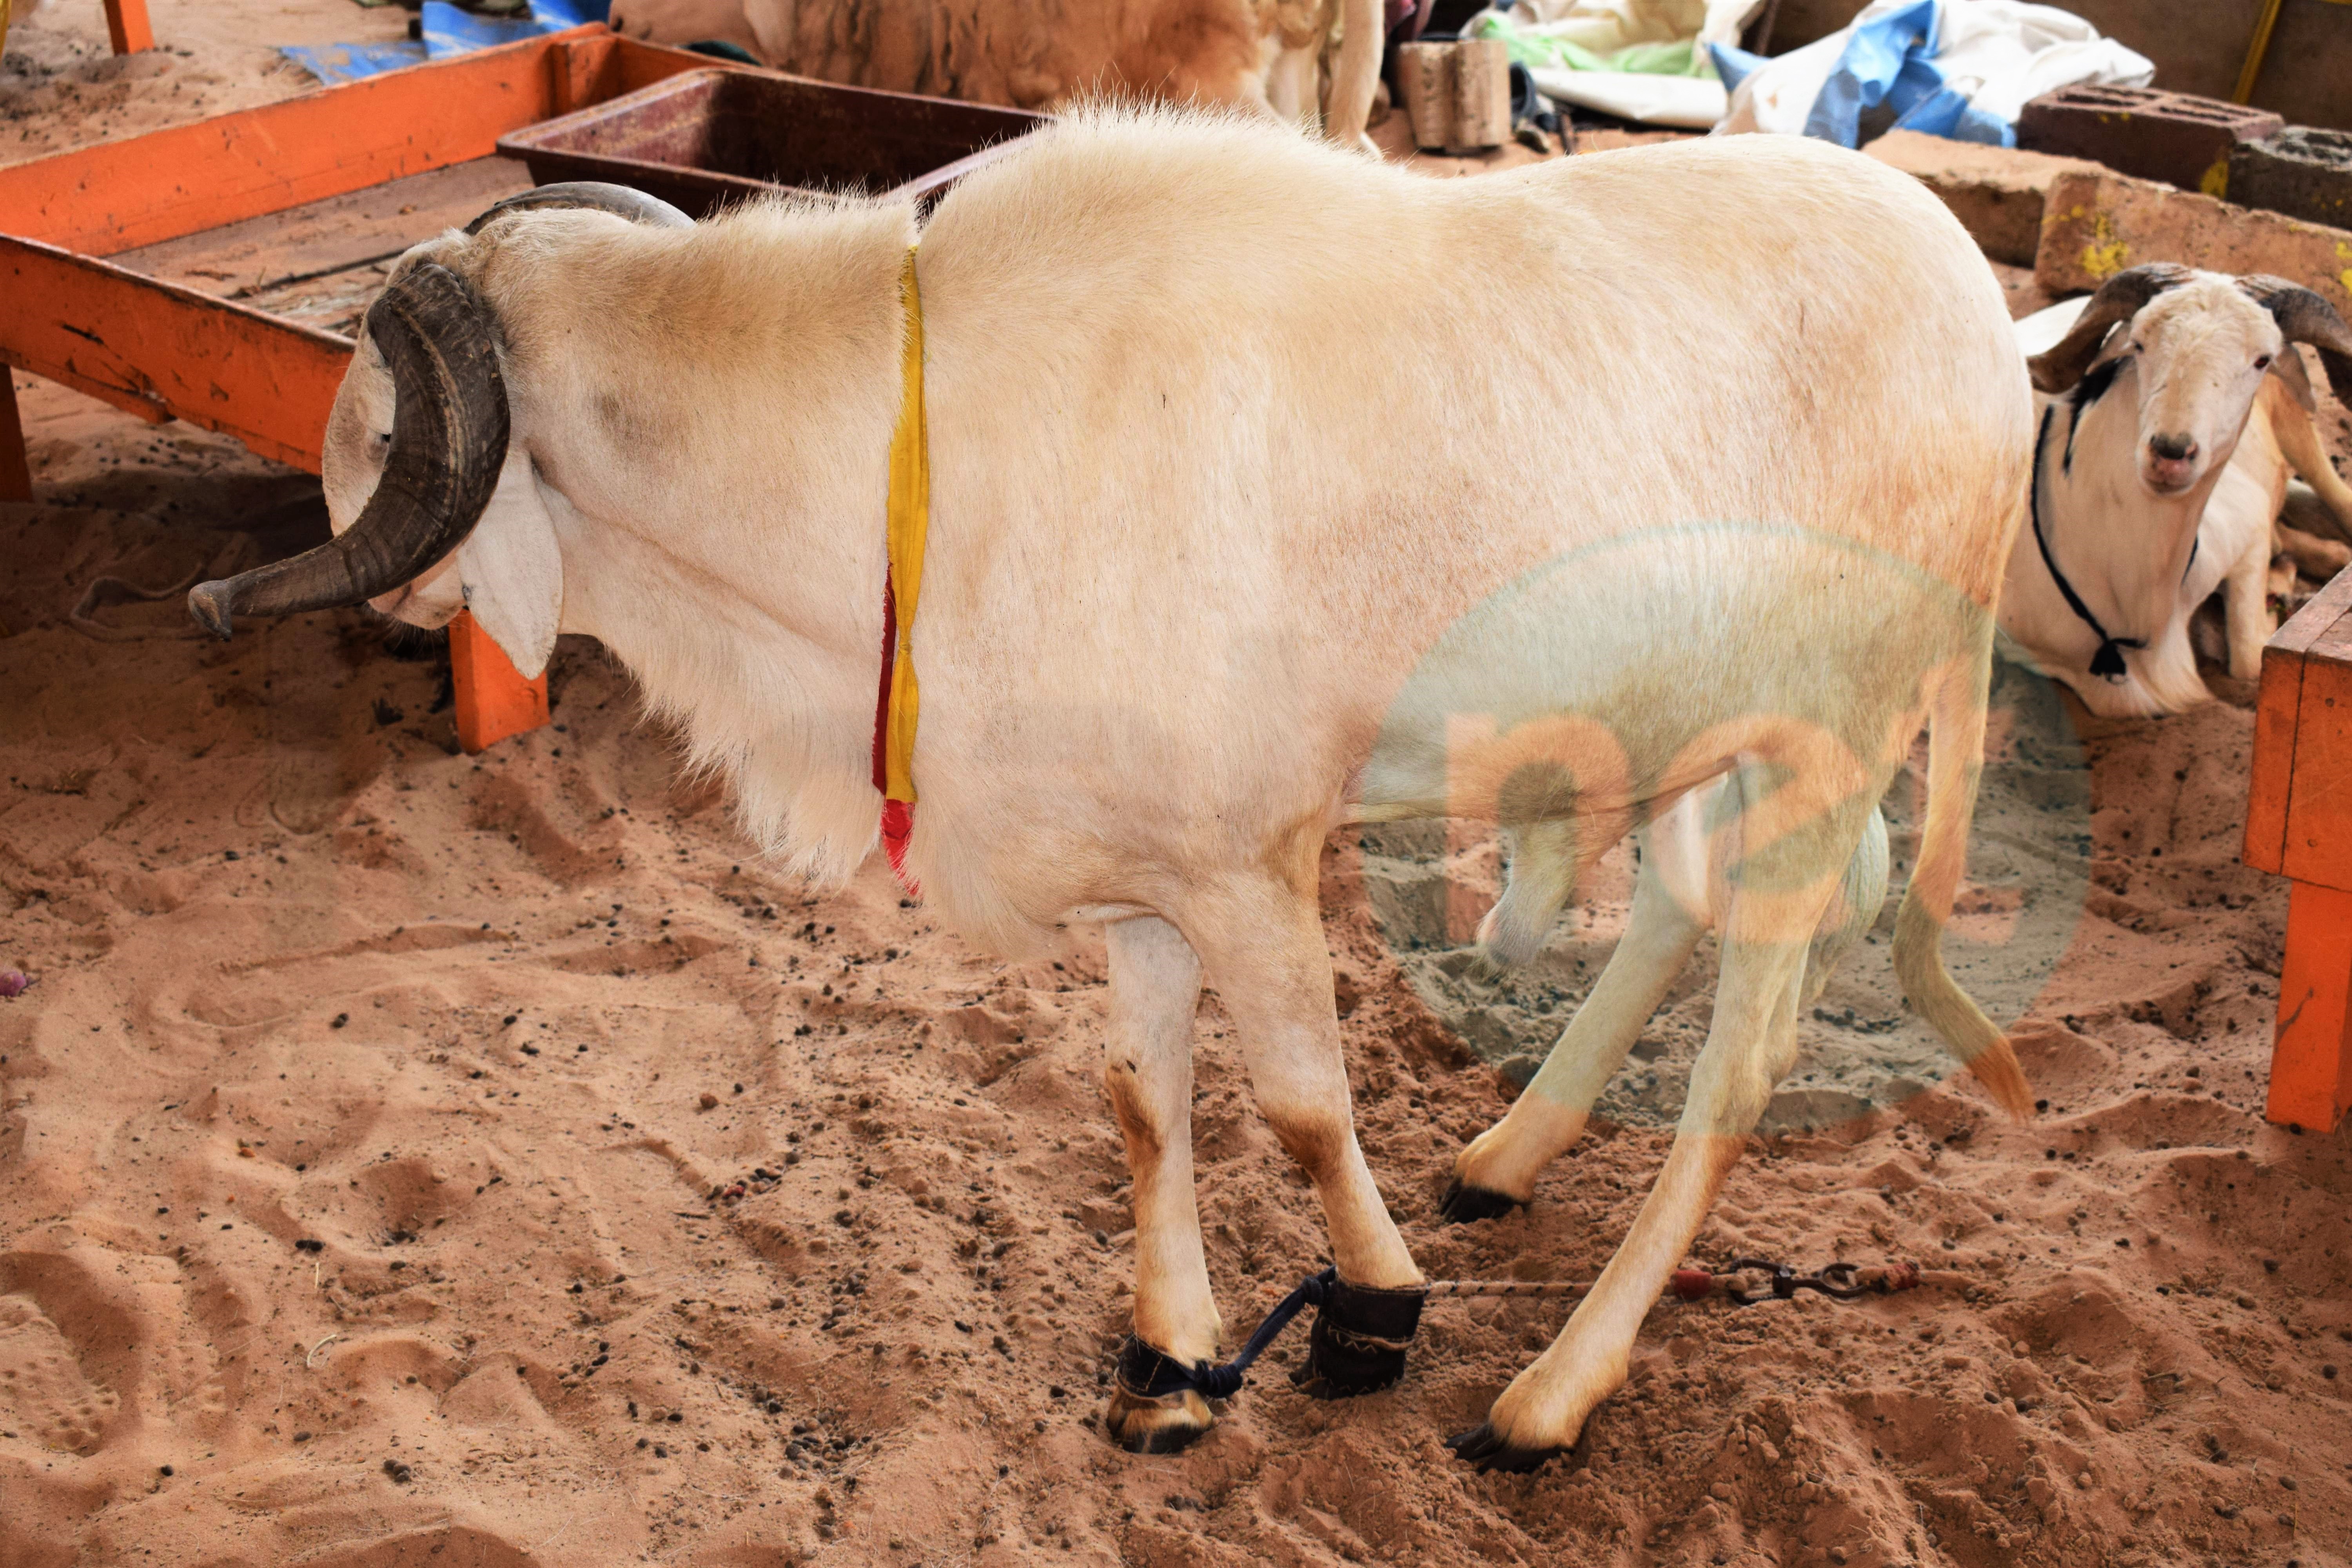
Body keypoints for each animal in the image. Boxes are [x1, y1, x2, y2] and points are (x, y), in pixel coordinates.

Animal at [186, 107, 2033, 1470]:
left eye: (374, 421)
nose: (347, 586)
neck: (895, 453)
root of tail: (1980, 308)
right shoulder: (1141, 874)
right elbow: (1147, 1103)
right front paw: (1170, 1362)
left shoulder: (1246, 859)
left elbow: (1300, 1106)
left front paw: (1370, 1311)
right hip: (1694, 731)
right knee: (1664, 913)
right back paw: (1509, 1152)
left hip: (1822, 740)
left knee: (1740, 1062)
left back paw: (1550, 1393)